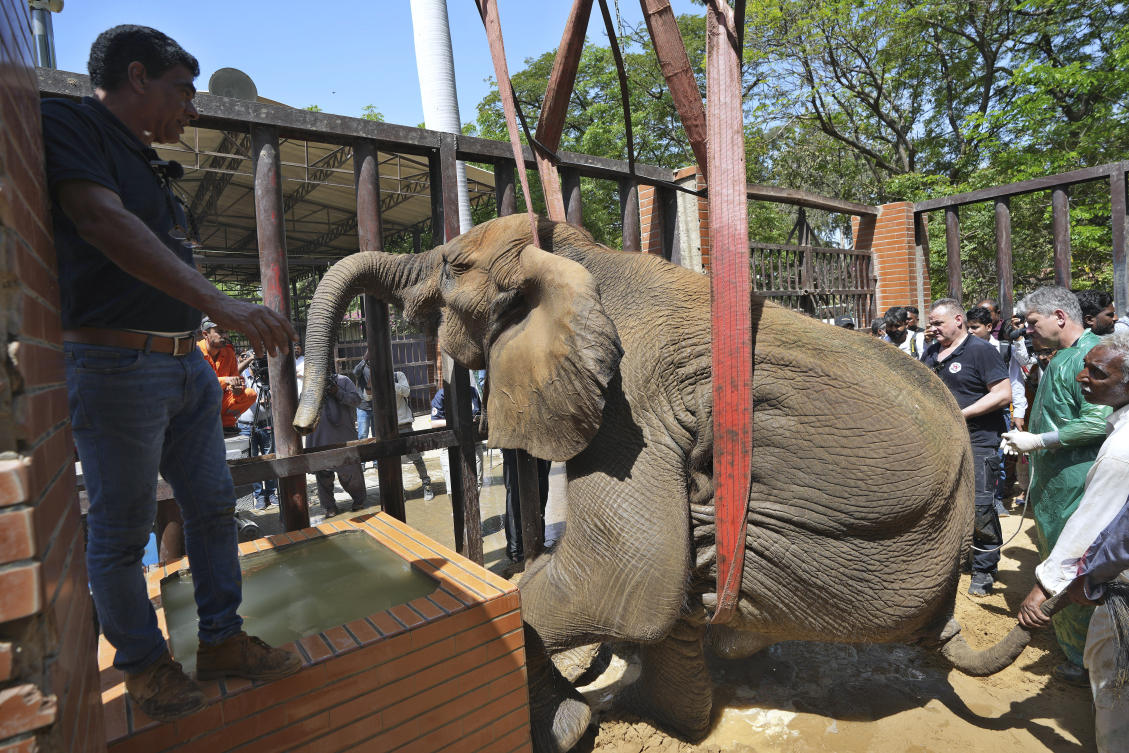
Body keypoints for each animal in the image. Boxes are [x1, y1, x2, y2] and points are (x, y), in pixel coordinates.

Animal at [295, 214, 1031, 753]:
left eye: (452, 266)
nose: (302, 424)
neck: (580, 258)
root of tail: (943, 610)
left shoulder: (633, 402)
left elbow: (617, 571)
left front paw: (566, 731)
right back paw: (671, 713)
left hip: (840, 561)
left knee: (688, 553)